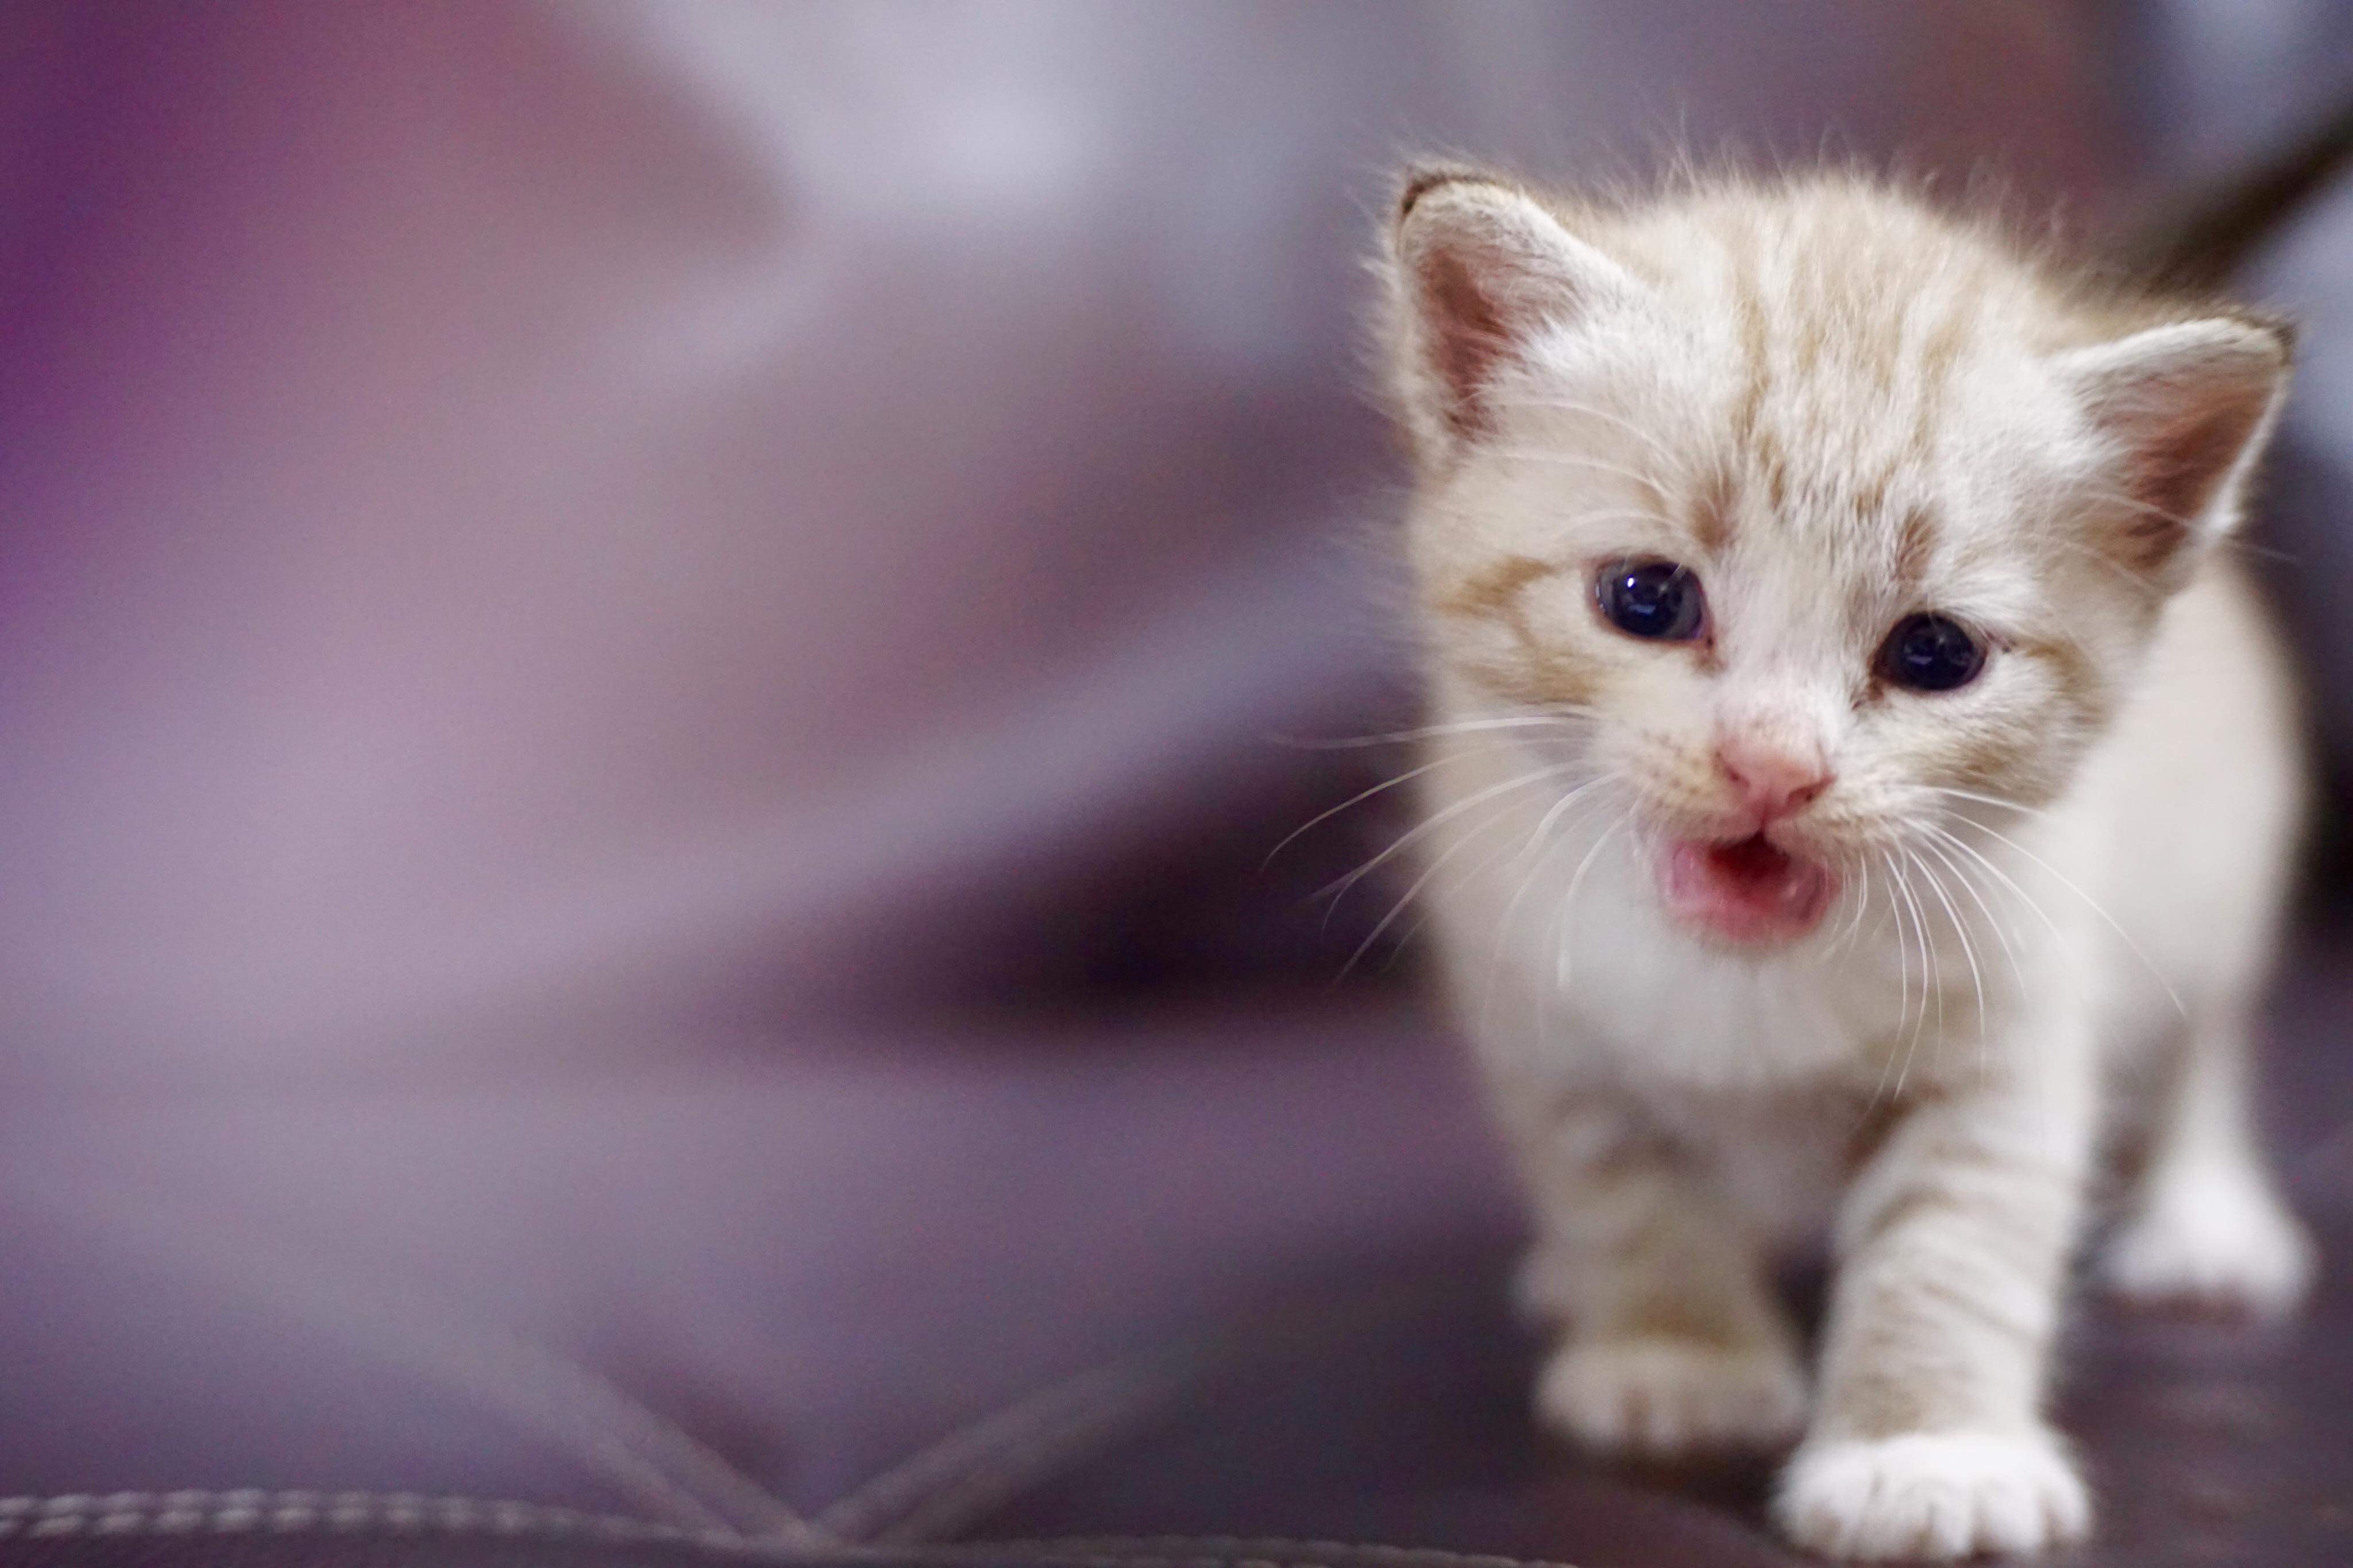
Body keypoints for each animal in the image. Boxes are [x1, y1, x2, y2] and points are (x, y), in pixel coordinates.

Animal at [1376, 165, 2314, 1561]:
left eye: (1933, 654)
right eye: (1645, 597)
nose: (1773, 765)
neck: (1745, 982)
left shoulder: (2011, 1037)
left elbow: (1953, 1251)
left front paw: (1926, 1453)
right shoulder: (1539, 1021)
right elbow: (1626, 1197)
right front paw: (1678, 1358)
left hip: (2221, 885)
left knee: (2208, 1048)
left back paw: (2202, 1218)